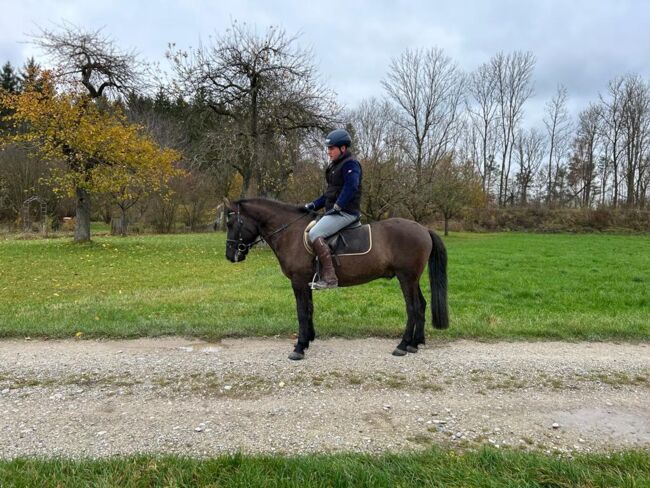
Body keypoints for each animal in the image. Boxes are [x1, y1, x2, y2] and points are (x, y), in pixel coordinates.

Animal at [221, 196, 446, 360]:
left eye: (231, 222)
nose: (230, 255)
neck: (291, 233)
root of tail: (423, 228)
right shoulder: (307, 282)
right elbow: (309, 310)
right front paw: (307, 340)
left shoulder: (298, 282)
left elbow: (301, 312)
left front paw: (299, 347)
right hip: (413, 279)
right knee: (421, 305)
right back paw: (415, 343)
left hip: (406, 278)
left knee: (412, 308)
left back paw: (403, 345)